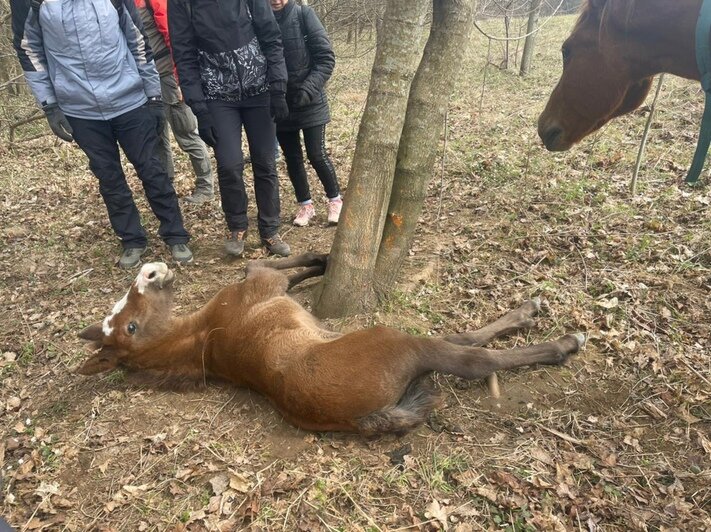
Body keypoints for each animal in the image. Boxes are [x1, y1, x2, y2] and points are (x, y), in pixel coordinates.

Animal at [78, 255, 588, 436]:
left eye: (127, 322)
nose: (150, 270)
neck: (205, 335)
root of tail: (356, 419)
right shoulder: (264, 283)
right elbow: (272, 264)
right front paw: (323, 256)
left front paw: (323, 260)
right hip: (398, 341)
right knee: (470, 356)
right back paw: (562, 341)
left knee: (462, 339)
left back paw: (529, 311)